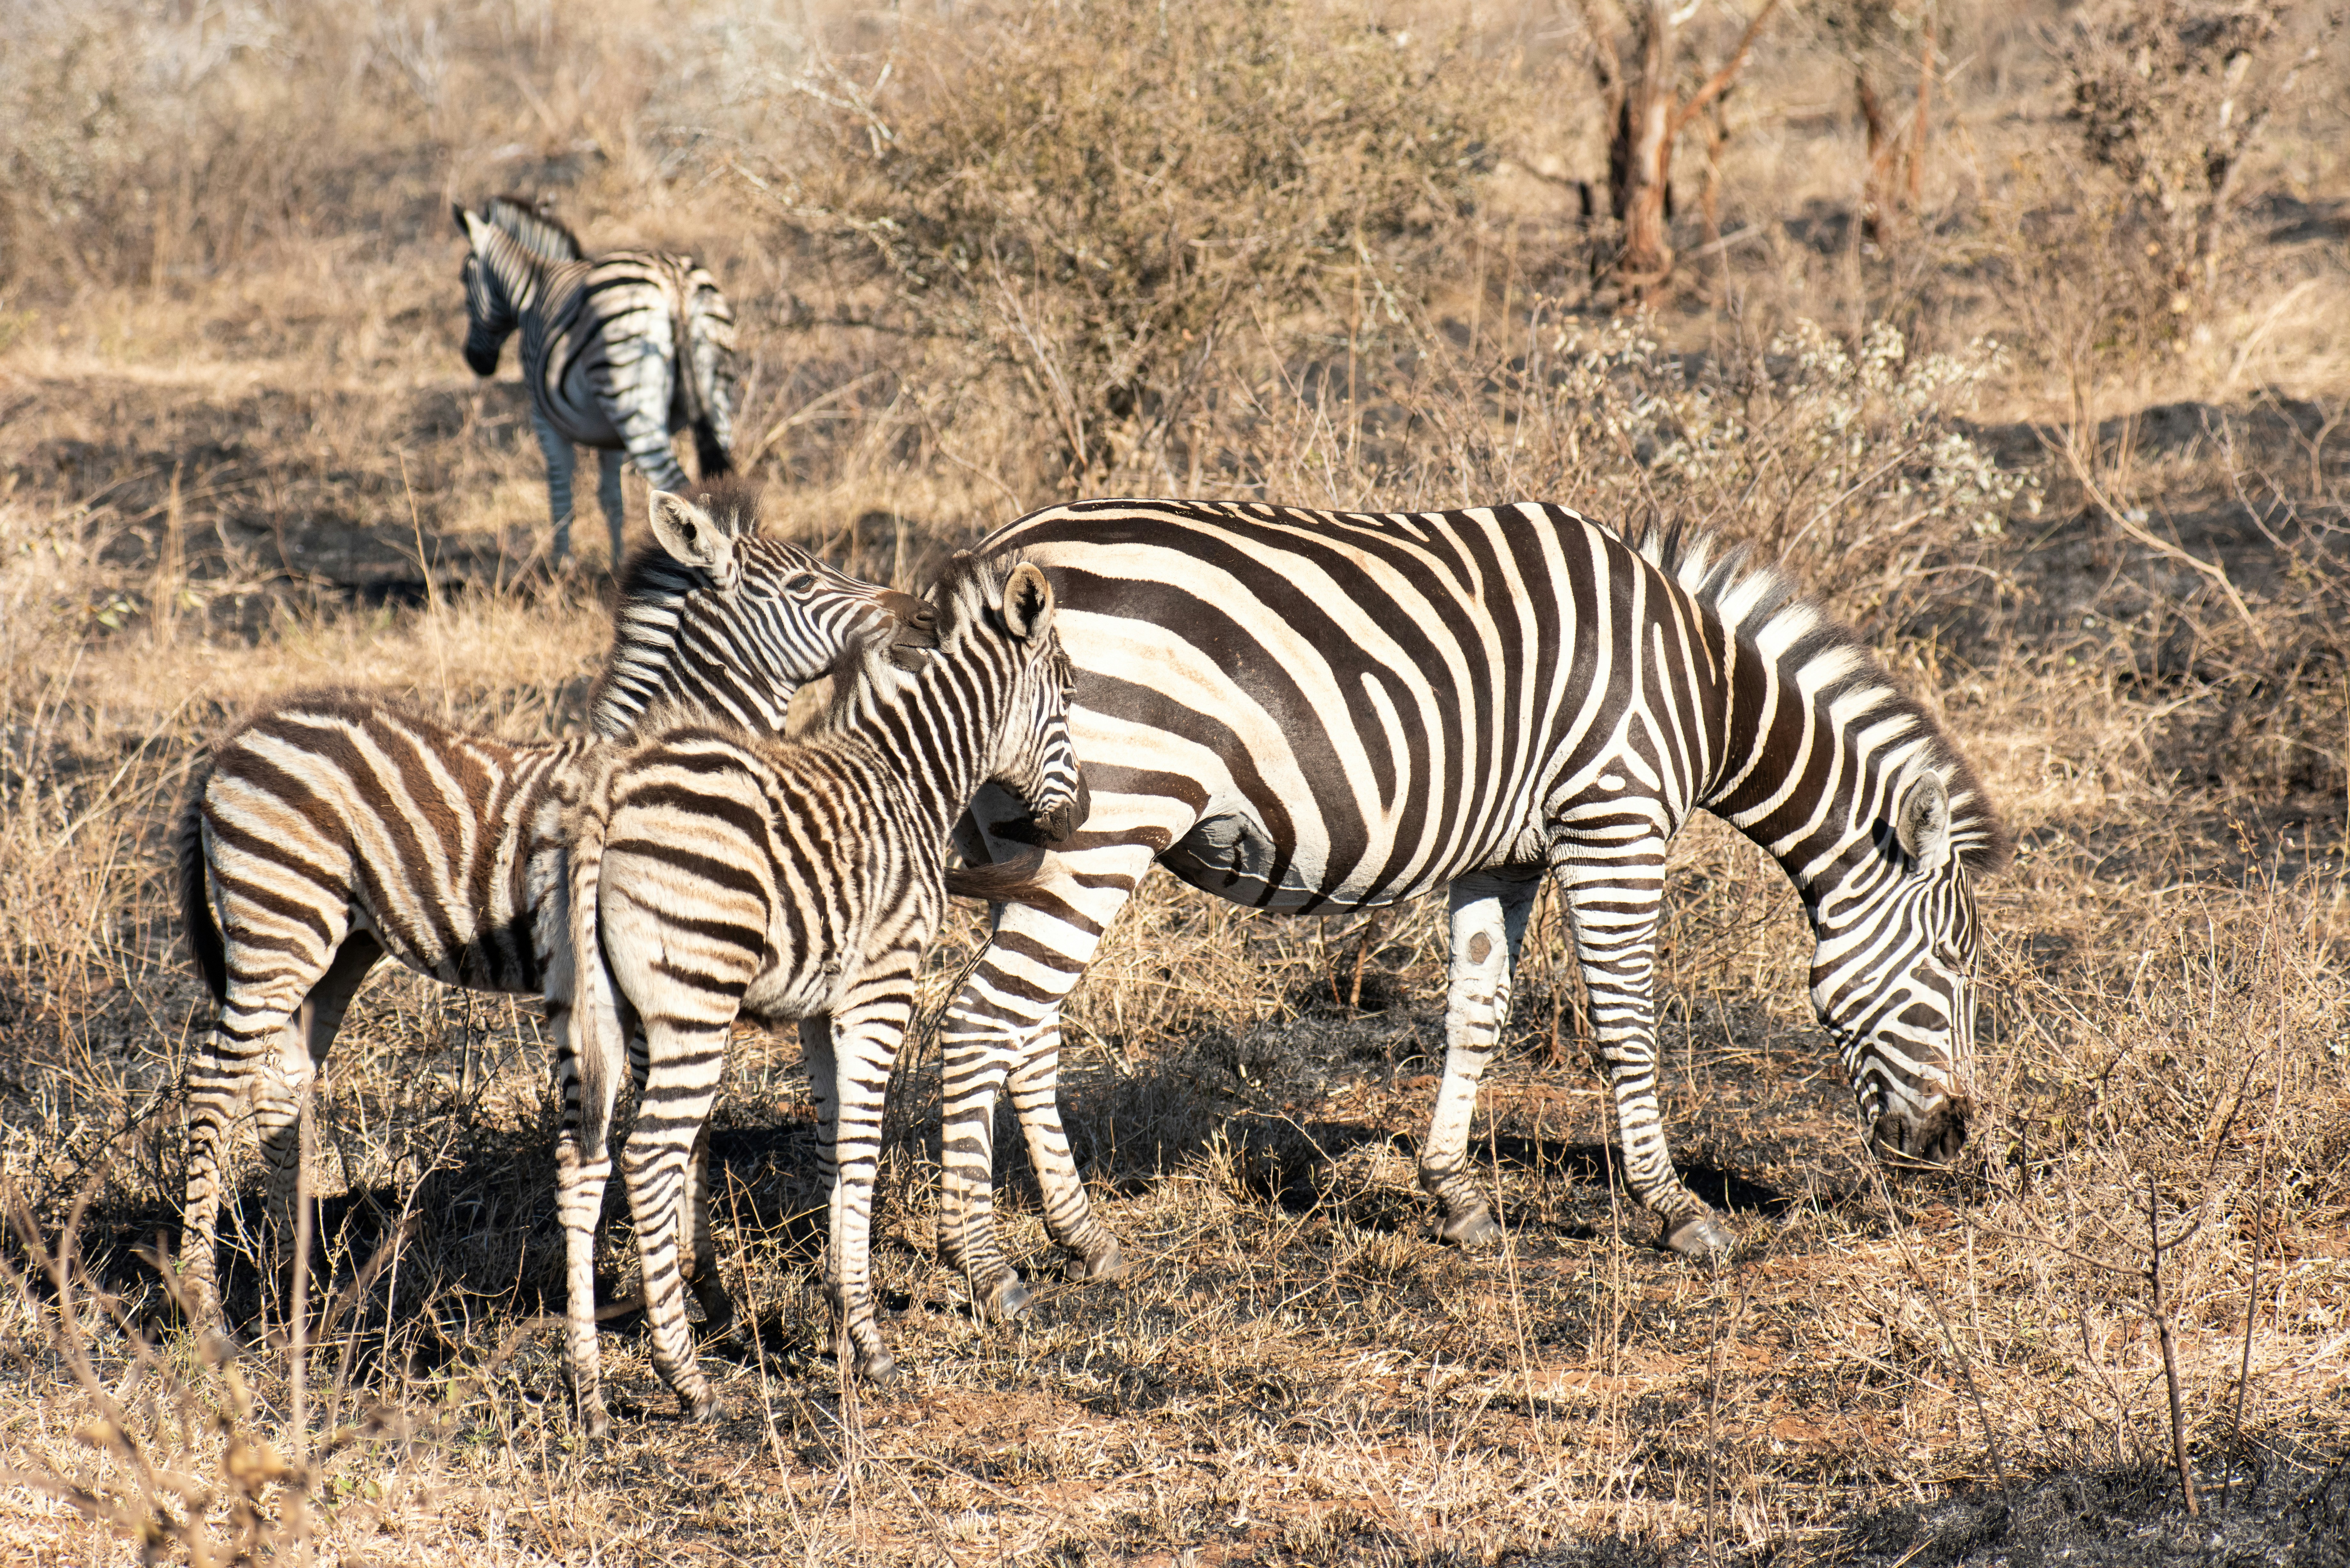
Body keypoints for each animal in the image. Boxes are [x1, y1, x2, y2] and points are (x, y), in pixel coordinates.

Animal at [175, 484, 935, 1335]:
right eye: (806, 583)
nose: (926, 615)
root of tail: (233, 741)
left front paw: (686, 1289)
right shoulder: (659, 972)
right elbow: (683, 1129)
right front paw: (688, 1291)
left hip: (339, 943)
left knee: (279, 1078)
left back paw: (296, 1285)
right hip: (279, 922)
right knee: (212, 1080)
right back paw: (205, 1304)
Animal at [453, 196, 738, 568]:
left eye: (463, 278)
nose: (476, 362)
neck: (535, 287)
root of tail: (673, 278)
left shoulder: (544, 419)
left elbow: (560, 493)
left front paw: (561, 566)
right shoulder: (611, 437)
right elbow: (612, 500)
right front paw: (617, 565)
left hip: (635, 402)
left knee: (678, 491)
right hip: (715, 394)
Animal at [550, 552, 1083, 1433]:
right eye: (1068, 695)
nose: (1076, 821)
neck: (912, 777)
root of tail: (606, 801)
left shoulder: (818, 1012)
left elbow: (838, 1142)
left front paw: (842, 1312)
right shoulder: (882, 984)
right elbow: (863, 1144)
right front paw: (869, 1344)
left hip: (592, 1010)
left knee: (581, 1160)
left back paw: (587, 1392)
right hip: (694, 1003)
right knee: (651, 1154)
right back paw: (685, 1379)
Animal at [920, 499, 2008, 1316]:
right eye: (1948, 968)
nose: (1953, 1144)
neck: (1702, 688)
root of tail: (993, 564)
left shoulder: (1506, 857)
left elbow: (1476, 1016)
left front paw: (1455, 1196)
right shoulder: (1613, 819)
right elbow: (1628, 1025)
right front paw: (1675, 1209)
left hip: (1030, 844)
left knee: (1025, 1032)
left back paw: (1084, 1238)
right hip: (1107, 823)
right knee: (981, 1023)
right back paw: (984, 1268)